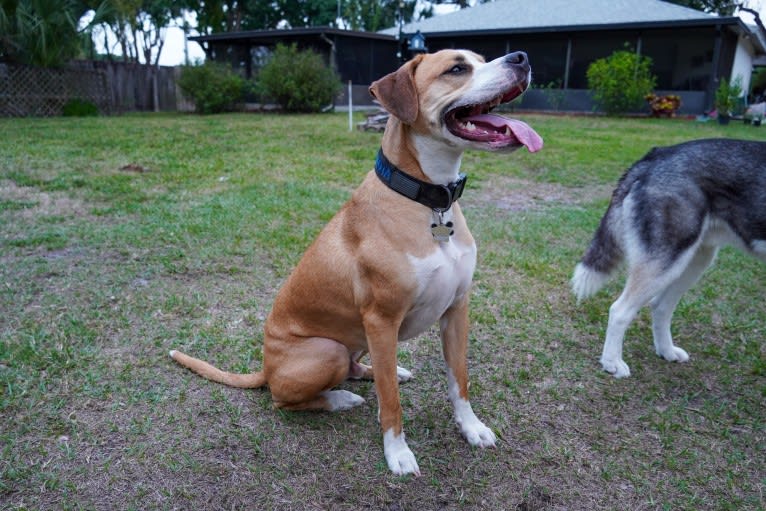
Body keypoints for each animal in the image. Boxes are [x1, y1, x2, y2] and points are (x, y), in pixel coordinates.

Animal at [172, 50, 544, 478]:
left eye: (482, 59)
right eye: (456, 68)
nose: (521, 58)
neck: (429, 202)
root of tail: (266, 367)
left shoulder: (456, 309)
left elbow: (459, 380)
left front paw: (471, 427)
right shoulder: (382, 320)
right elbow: (391, 402)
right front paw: (397, 453)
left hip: (359, 342)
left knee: (363, 369)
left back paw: (382, 373)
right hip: (328, 350)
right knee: (283, 399)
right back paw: (339, 399)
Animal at [572, 138, 764, 378]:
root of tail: (656, 154)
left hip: (693, 261)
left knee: (660, 306)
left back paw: (666, 351)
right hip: (666, 262)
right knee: (619, 310)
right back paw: (612, 362)